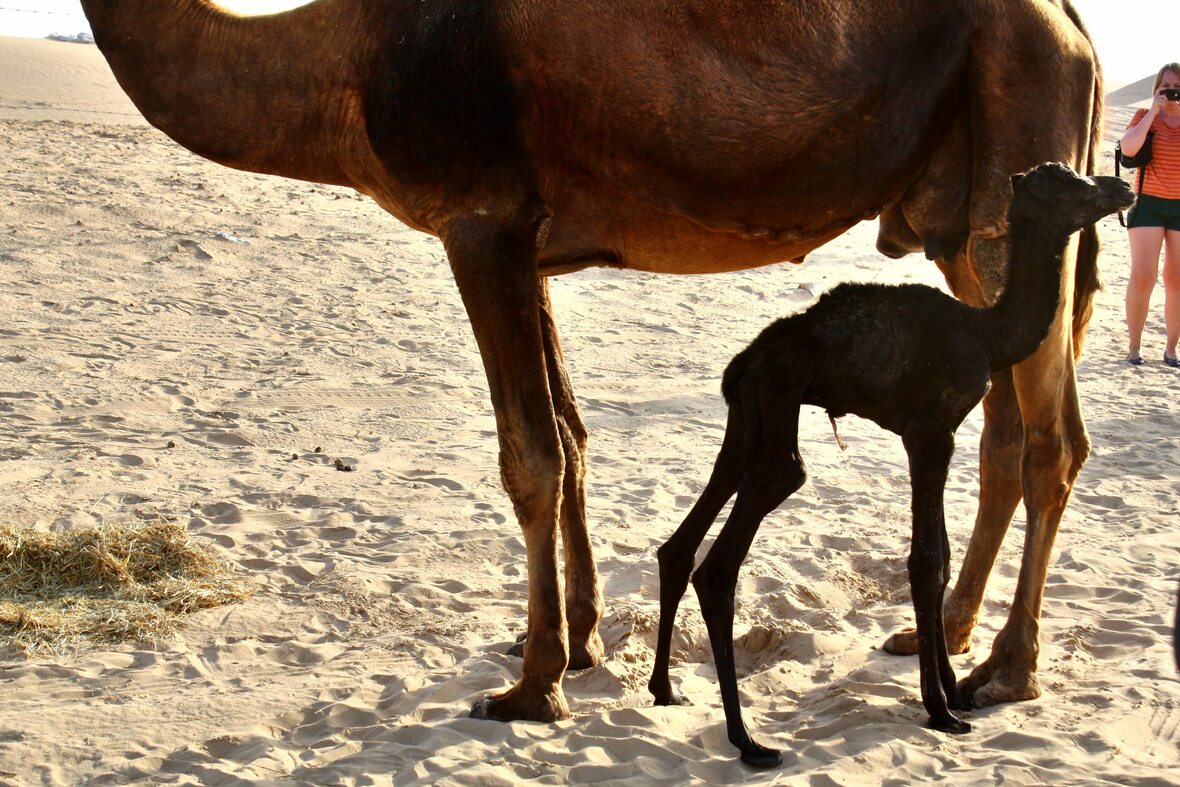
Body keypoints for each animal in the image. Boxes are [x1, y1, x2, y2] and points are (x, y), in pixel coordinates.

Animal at [80, 0, 1104, 726]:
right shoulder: (527, 241)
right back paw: (947, 633)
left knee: (1054, 438)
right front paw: (579, 643)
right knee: (1004, 427)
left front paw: (534, 687)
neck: (348, 57)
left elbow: (529, 456)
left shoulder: (480, 220)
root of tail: (1069, 27)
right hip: (963, 218)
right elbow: (570, 436)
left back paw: (1005, 670)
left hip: (1019, 154)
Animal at [646, 162, 1132, 764]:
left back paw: (665, 689)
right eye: (1071, 186)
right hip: (779, 405)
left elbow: (939, 555)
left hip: (749, 412)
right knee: (735, 542)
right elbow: (927, 561)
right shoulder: (930, 431)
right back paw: (748, 740)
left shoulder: (929, 434)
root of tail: (745, 362)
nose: (1121, 188)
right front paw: (941, 709)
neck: (988, 334)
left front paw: (953, 692)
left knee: (689, 530)